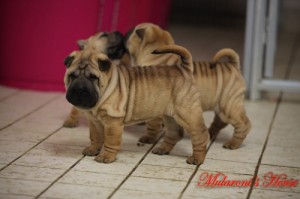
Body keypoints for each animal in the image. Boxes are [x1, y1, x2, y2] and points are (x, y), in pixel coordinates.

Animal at [63, 45, 209, 165]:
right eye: (72, 76)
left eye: (93, 77)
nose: (79, 89)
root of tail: (183, 69)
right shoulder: (94, 122)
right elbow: (95, 137)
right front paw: (93, 150)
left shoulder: (112, 122)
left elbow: (110, 141)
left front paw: (106, 157)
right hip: (170, 116)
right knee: (175, 133)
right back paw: (162, 149)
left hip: (187, 114)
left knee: (200, 134)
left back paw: (197, 159)